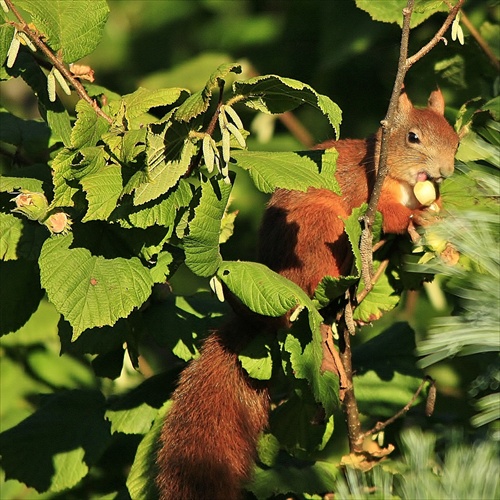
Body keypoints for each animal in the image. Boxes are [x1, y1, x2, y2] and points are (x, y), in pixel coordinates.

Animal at [156, 88, 460, 498]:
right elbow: (387, 214)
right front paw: (416, 220)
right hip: (316, 233)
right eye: (413, 138)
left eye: (455, 138)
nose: (445, 171)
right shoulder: (365, 194)